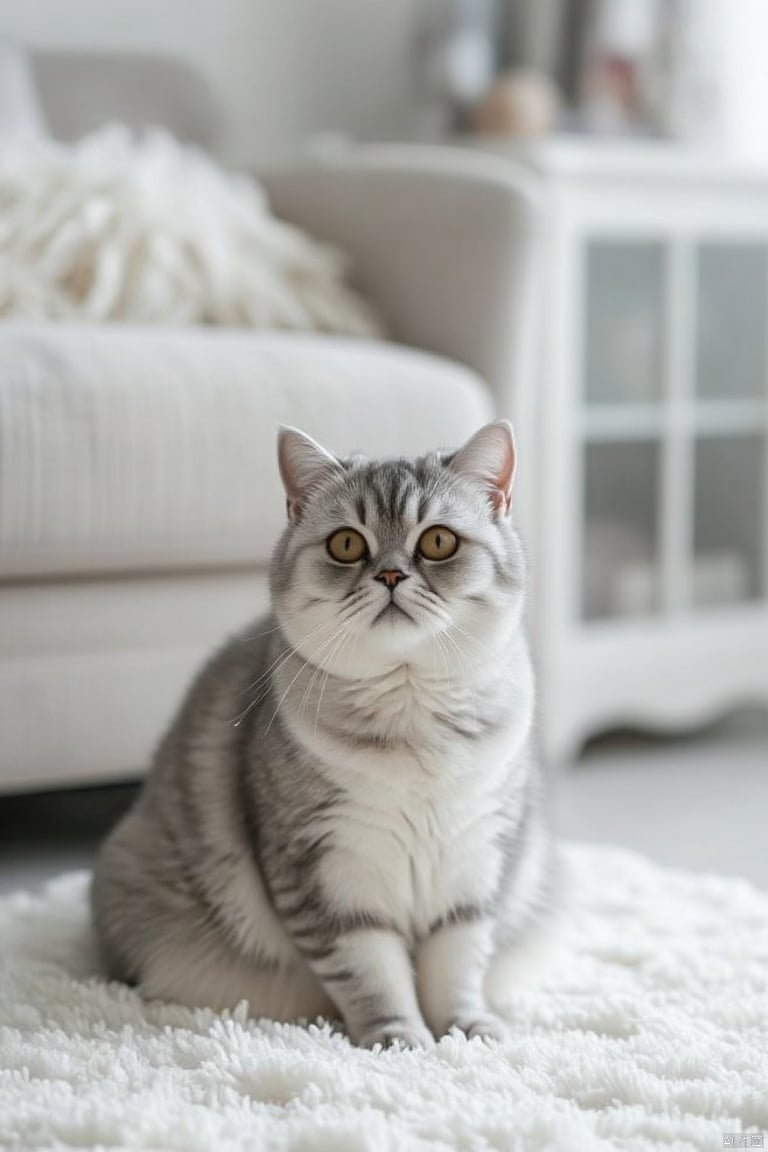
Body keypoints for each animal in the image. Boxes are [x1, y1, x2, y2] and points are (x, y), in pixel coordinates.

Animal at [91, 419, 559, 1050]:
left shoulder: (477, 859)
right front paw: (400, 1040)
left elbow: (456, 964)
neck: (413, 720)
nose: (390, 574)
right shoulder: (327, 871)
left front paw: (467, 1032)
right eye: (346, 545)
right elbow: (372, 973)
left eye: (438, 541)